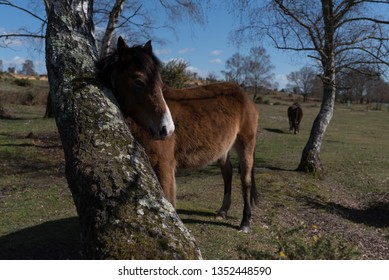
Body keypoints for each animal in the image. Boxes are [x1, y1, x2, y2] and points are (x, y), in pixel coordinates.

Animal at [94, 37, 258, 232]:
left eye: (159, 82)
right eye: (138, 81)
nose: (167, 129)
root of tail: (243, 94)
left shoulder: (164, 165)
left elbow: (169, 200)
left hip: (245, 144)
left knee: (245, 180)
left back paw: (246, 222)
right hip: (223, 149)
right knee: (228, 173)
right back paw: (222, 211)